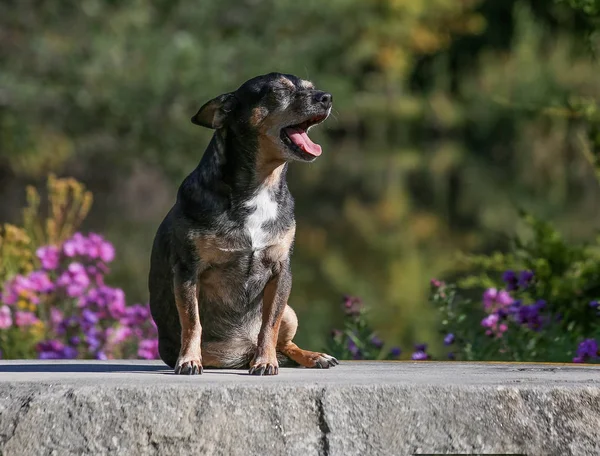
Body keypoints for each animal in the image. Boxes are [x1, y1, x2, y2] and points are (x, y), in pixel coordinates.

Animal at [148, 73, 340, 376]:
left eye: (311, 87)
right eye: (278, 91)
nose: (327, 97)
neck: (261, 185)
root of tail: (242, 352)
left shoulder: (280, 272)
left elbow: (269, 326)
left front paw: (266, 361)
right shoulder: (188, 272)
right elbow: (192, 322)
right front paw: (189, 359)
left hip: (290, 311)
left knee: (285, 344)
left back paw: (310, 356)